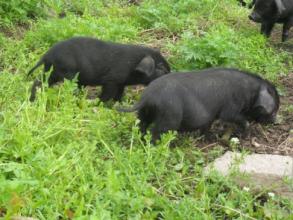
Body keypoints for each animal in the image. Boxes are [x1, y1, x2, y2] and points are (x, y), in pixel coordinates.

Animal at [28, 36, 169, 101]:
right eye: (160, 67)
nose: (170, 73)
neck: (132, 65)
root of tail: (47, 55)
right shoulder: (111, 80)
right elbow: (107, 94)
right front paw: (101, 103)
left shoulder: (121, 83)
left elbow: (119, 94)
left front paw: (118, 102)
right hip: (67, 73)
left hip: (51, 72)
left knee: (38, 82)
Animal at [118, 68, 278, 143]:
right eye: (273, 110)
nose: (275, 121)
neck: (250, 92)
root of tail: (148, 96)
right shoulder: (230, 109)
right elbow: (237, 118)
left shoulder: (210, 116)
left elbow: (207, 126)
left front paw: (210, 137)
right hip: (169, 117)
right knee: (156, 132)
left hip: (144, 114)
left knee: (141, 126)